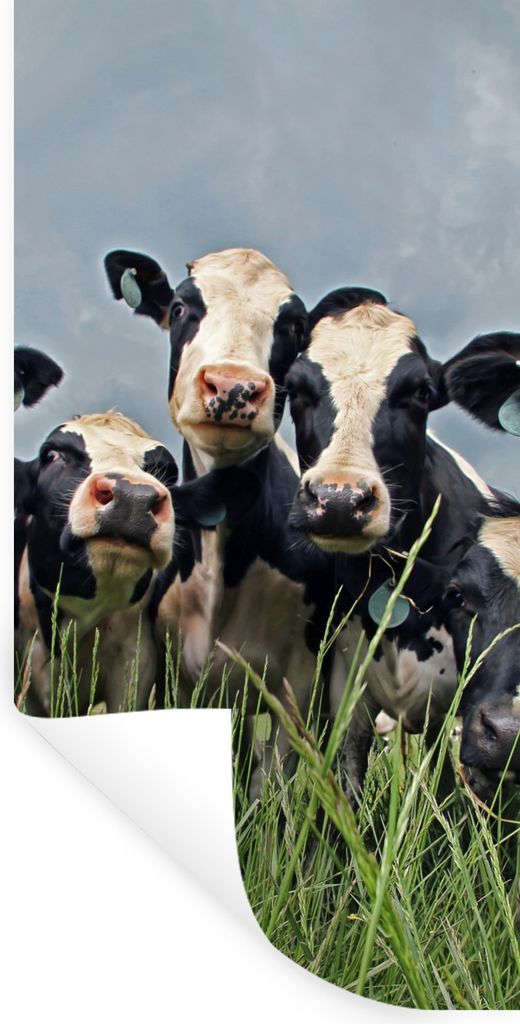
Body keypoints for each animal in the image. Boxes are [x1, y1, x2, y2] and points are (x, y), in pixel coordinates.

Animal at [104, 247, 326, 791]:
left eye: (294, 325)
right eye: (181, 307)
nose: (233, 386)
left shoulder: (298, 680)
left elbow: (273, 792)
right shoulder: (171, 670)